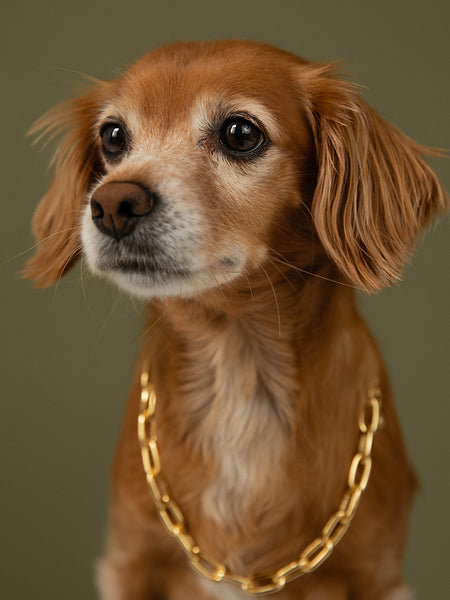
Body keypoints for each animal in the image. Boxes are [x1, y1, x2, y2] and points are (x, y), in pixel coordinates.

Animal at [26, 39, 448, 596]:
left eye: (240, 133)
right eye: (113, 136)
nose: (113, 202)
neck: (236, 361)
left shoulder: (375, 570)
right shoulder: (129, 560)